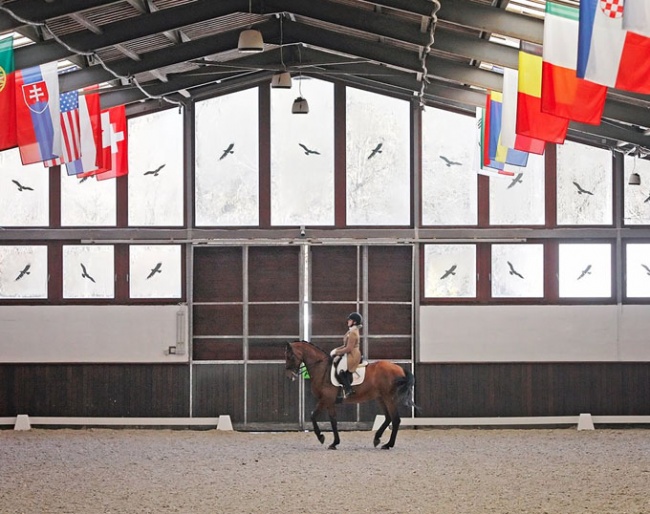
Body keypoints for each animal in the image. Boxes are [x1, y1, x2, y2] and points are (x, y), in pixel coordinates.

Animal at [284, 340, 416, 448]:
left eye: (290, 356)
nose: (290, 376)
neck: (322, 369)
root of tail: (399, 368)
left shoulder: (325, 399)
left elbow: (313, 416)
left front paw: (321, 437)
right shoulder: (330, 402)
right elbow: (333, 420)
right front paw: (334, 443)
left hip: (389, 398)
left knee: (395, 419)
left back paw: (388, 444)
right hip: (381, 398)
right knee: (388, 418)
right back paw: (377, 439)